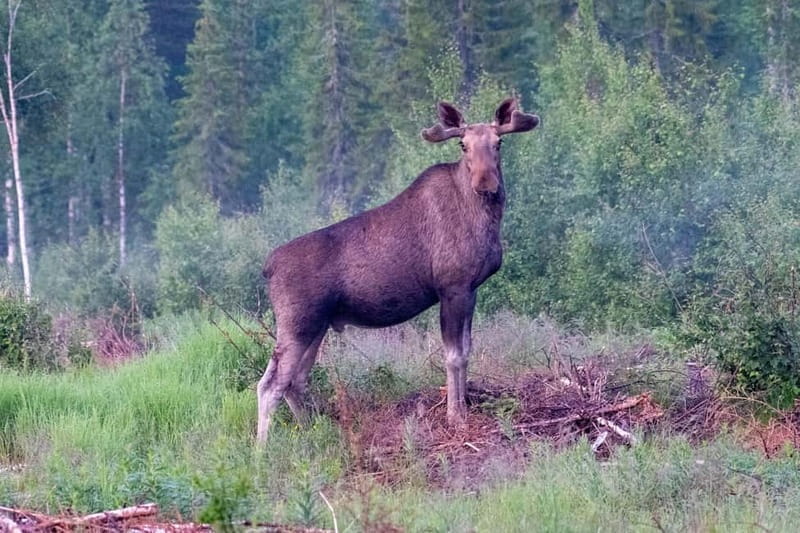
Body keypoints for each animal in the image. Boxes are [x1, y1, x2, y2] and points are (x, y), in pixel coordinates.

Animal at [257, 98, 539, 442]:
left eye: (498, 143)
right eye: (463, 145)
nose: (486, 184)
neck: (487, 218)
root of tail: (268, 268)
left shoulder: (471, 289)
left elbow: (467, 351)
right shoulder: (453, 287)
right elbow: (453, 356)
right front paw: (456, 416)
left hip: (316, 325)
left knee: (294, 381)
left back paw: (315, 432)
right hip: (297, 323)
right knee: (269, 386)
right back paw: (262, 449)